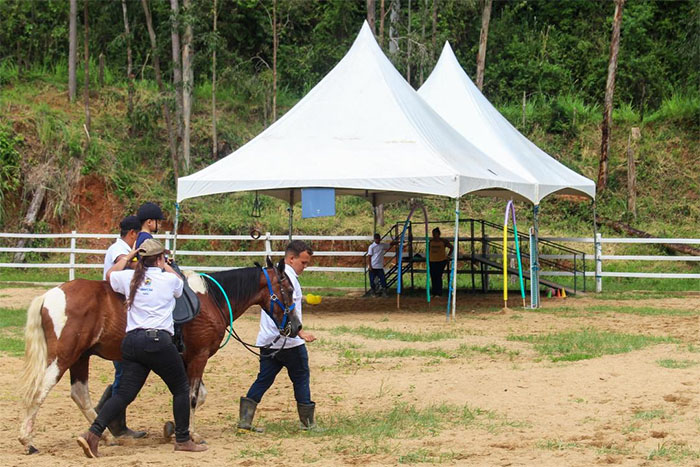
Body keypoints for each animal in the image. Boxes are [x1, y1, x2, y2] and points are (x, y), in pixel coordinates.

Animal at [19, 258, 298, 456]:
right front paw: (192, 435)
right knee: (39, 392)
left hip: (81, 358)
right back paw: (28, 441)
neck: (211, 300)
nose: (295, 326)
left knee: (79, 394)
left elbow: (193, 395)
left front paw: (173, 427)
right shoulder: (199, 356)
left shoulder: (183, 359)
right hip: (63, 357)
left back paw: (105, 437)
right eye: (288, 289)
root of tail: (50, 295)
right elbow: (192, 396)